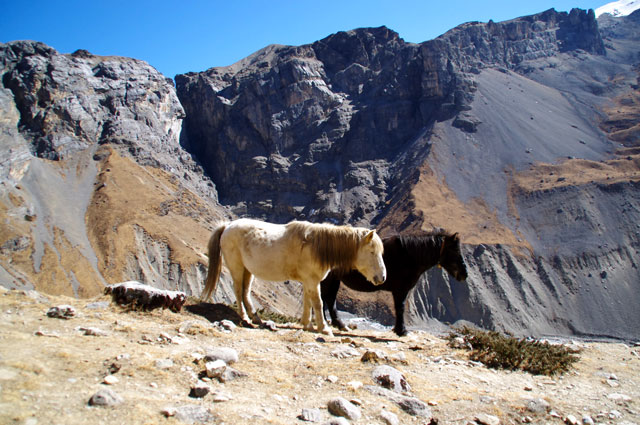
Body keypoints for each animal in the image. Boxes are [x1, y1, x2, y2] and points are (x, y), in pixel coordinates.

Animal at [201, 219, 384, 334]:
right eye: (372, 252)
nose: (382, 277)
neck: (316, 247)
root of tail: (227, 226)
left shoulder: (308, 281)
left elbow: (308, 302)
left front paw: (307, 324)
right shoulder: (312, 281)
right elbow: (317, 303)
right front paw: (323, 328)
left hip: (248, 271)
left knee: (245, 292)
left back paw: (256, 318)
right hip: (237, 268)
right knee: (238, 291)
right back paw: (245, 317)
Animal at [322, 232, 468, 334]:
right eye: (454, 251)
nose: (464, 273)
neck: (409, 256)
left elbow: (399, 308)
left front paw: (399, 329)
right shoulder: (400, 290)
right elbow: (400, 308)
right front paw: (401, 330)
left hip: (334, 280)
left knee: (330, 300)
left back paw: (339, 324)